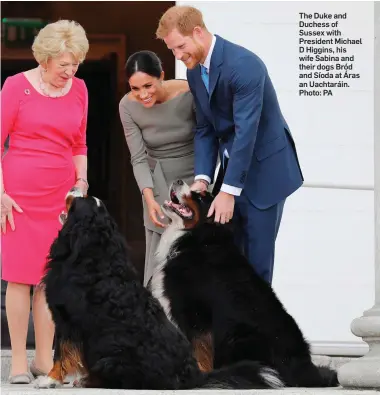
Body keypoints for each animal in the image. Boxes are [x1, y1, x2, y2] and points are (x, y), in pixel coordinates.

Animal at [35, 191, 284, 390]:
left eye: (79, 201)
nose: (76, 188)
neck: (92, 253)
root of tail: (193, 377)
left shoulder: (67, 320)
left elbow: (61, 352)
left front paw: (50, 379)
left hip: (111, 357)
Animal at [148, 180, 338, 390]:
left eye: (200, 197)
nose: (179, 181)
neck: (197, 239)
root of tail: (305, 369)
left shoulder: (196, 315)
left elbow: (199, 351)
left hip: (239, 335)